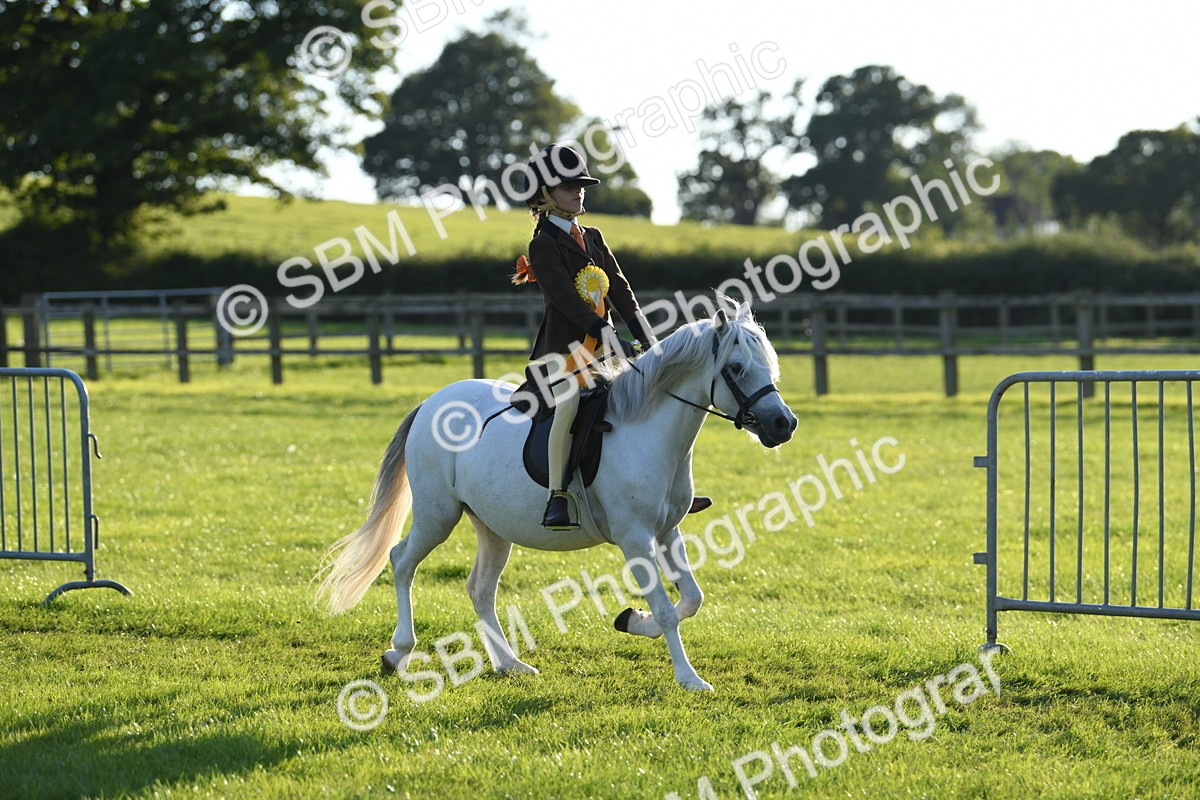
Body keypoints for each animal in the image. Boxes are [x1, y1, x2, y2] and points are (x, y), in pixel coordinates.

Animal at [317, 300, 798, 691]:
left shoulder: (666, 532)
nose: (783, 424)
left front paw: (631, 621)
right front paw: (689, 678)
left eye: (768, 364)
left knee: (480, 589)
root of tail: (430, 402)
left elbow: (692, 599)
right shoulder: (635, 538)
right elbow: (665, 608)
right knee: (402, 561)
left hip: (492, 526)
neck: (648, 431)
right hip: (439, 515)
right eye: (736, 369)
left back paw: (510, 664)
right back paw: (398, 651)